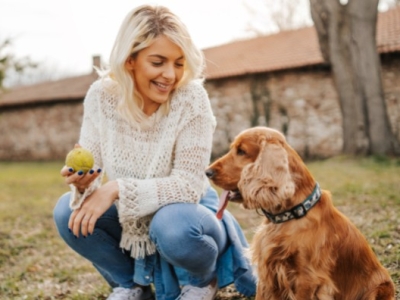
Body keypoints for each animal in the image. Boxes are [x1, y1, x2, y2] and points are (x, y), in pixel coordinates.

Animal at [208, 126, 396, 300]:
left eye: (241, 151)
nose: (207, 172)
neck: (291, 214)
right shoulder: (266, 272)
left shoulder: (307, 278)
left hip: (377, 289)